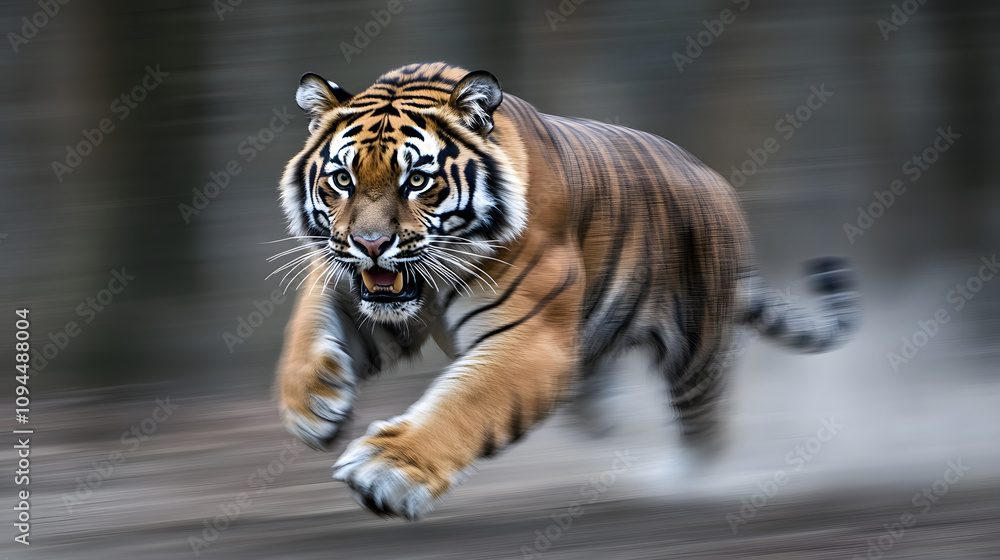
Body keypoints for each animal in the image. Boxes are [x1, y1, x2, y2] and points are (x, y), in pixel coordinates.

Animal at [273, 62, 860, 520]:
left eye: (416, 180)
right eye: (343, 180)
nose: (371, 244)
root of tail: (717, 183)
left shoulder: (534, 340)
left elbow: (465, 401)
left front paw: (388, 468)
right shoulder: (365, 287)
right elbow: (310, 314)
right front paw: (312, 402)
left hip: (697, 356)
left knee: (707, 432)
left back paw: (686, 482)